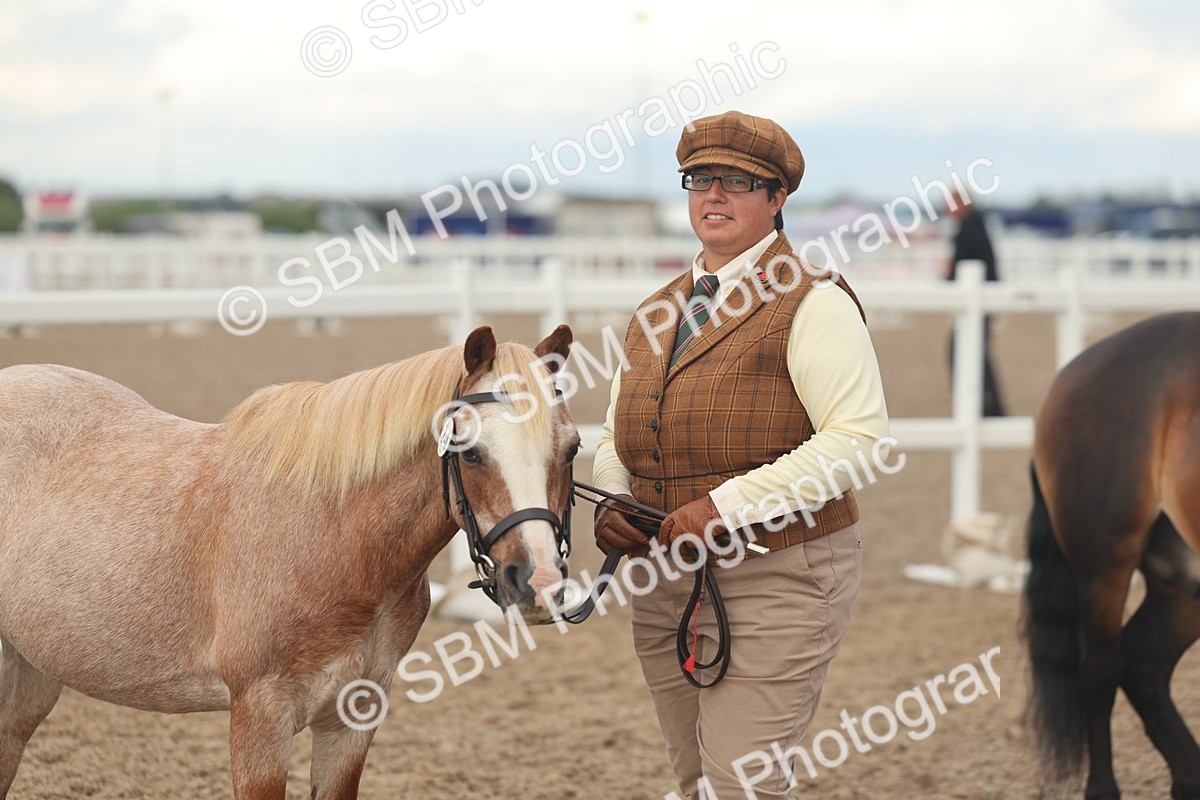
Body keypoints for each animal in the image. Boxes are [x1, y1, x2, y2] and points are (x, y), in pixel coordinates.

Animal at [0, 324, 579, 800]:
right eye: (470, 449)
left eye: (571, 448)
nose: (539, 581)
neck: (332, 534)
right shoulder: (260, 720)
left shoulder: (351, 721)